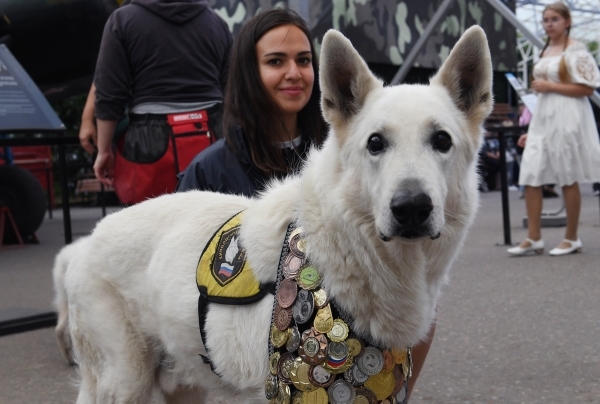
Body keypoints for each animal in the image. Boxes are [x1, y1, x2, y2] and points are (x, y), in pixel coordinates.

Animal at [64, 26, 492, 402]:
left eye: (441, 141)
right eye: (375, 143)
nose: (412, 208)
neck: (339, 250)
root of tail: (84, 243)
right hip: (125, 383)